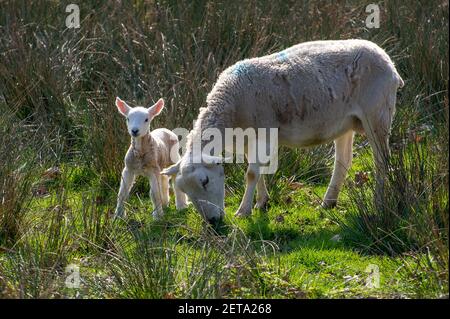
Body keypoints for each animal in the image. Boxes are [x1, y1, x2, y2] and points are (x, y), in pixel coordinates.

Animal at [162, 38, 404, 224]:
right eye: (185, 192)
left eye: (205, 181)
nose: (213, 221)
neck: (231, 105)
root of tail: (387, 60)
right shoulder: (248, 139)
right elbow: (256, 171)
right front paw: (261, 202)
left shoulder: (264, 133)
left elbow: (251, 173)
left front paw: (243, 211)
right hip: (346, 122)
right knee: (343, 161)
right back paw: (328, 202)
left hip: (377, 114)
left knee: (381, 161)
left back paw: (378, 203)